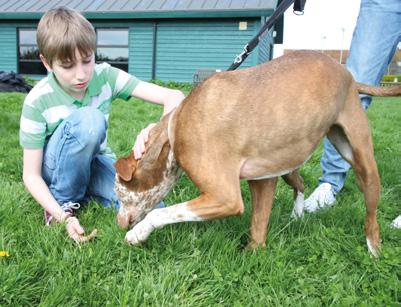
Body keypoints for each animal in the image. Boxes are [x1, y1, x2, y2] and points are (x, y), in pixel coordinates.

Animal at [113, 51, 400, 258]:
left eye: (119, 192)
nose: (118, 222)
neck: (176, 126)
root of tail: (350, 76)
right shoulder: (262, 180)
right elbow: (258, 227)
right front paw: (253, 253)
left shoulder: (225, 197)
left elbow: (161, 213)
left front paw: (137, 234)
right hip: (287, 161)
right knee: (300, 183)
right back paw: (297, 215)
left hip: (362, 161)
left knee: (371, 212)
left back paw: (374, 249)